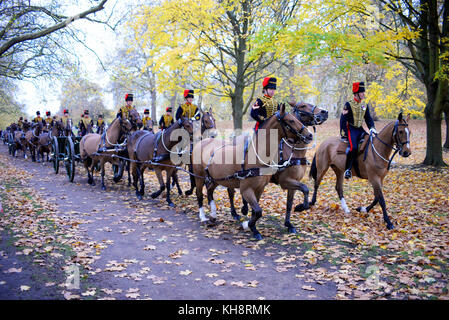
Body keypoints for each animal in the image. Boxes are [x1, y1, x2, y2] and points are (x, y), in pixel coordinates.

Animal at [191, 103, 314, 240]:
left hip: (216, 178)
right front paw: (249, 226)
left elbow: (259, 210)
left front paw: (252, 227)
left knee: (210, 190)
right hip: (199, 176)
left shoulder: (260, 188)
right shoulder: (248, 189)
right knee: (200, 194)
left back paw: (213, 214)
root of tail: (203, 141)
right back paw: (203, 217)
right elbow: (258, 211)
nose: (309, 135)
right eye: (291, 120)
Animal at [228, 102, 328, 232]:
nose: (324, 112)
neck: (293, 151)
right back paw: (235, 213)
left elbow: (291, 202)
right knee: (231, 192)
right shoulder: (285, 181)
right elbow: (305, 188)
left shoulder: (293, 182)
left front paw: (289, 222)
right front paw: (300, 207)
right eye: (303, 106)